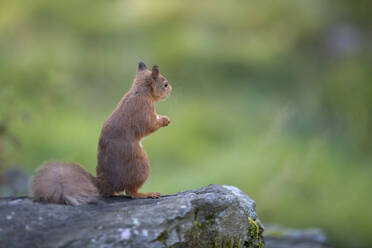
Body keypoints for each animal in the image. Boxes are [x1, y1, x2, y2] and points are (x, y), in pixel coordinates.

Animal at [30, 62, 173, 205]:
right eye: (165, 84)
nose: (171, 90)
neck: (141, 93)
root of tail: (107, 183)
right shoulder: (143, 110)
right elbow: (150, 126)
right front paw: (164, 120)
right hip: (140, 165)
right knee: (130, 192)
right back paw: (146, 194)